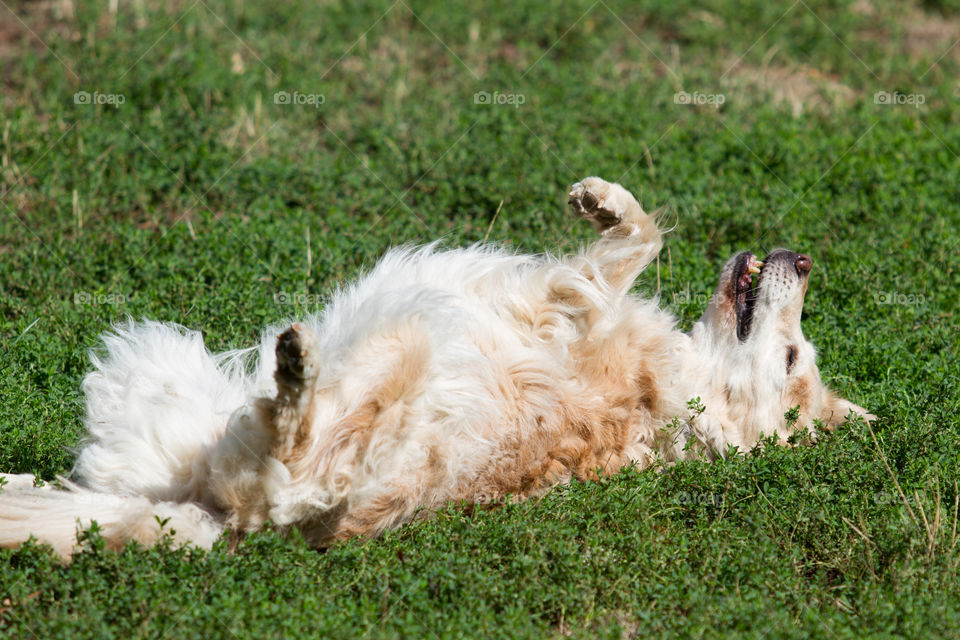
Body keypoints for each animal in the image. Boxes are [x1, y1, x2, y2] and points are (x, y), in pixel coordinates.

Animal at [0, 178, 872, 556]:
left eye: (792, 356)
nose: (801, 259)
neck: (685, 415)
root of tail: (227, 520)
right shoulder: (578, 297)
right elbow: (634, 238)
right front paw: (605, 198)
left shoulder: (566, 303)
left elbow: (633, 246)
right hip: (158, 390)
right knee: (83, 489)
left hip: (383, 370)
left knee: (291, 443)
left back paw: (295, 370)